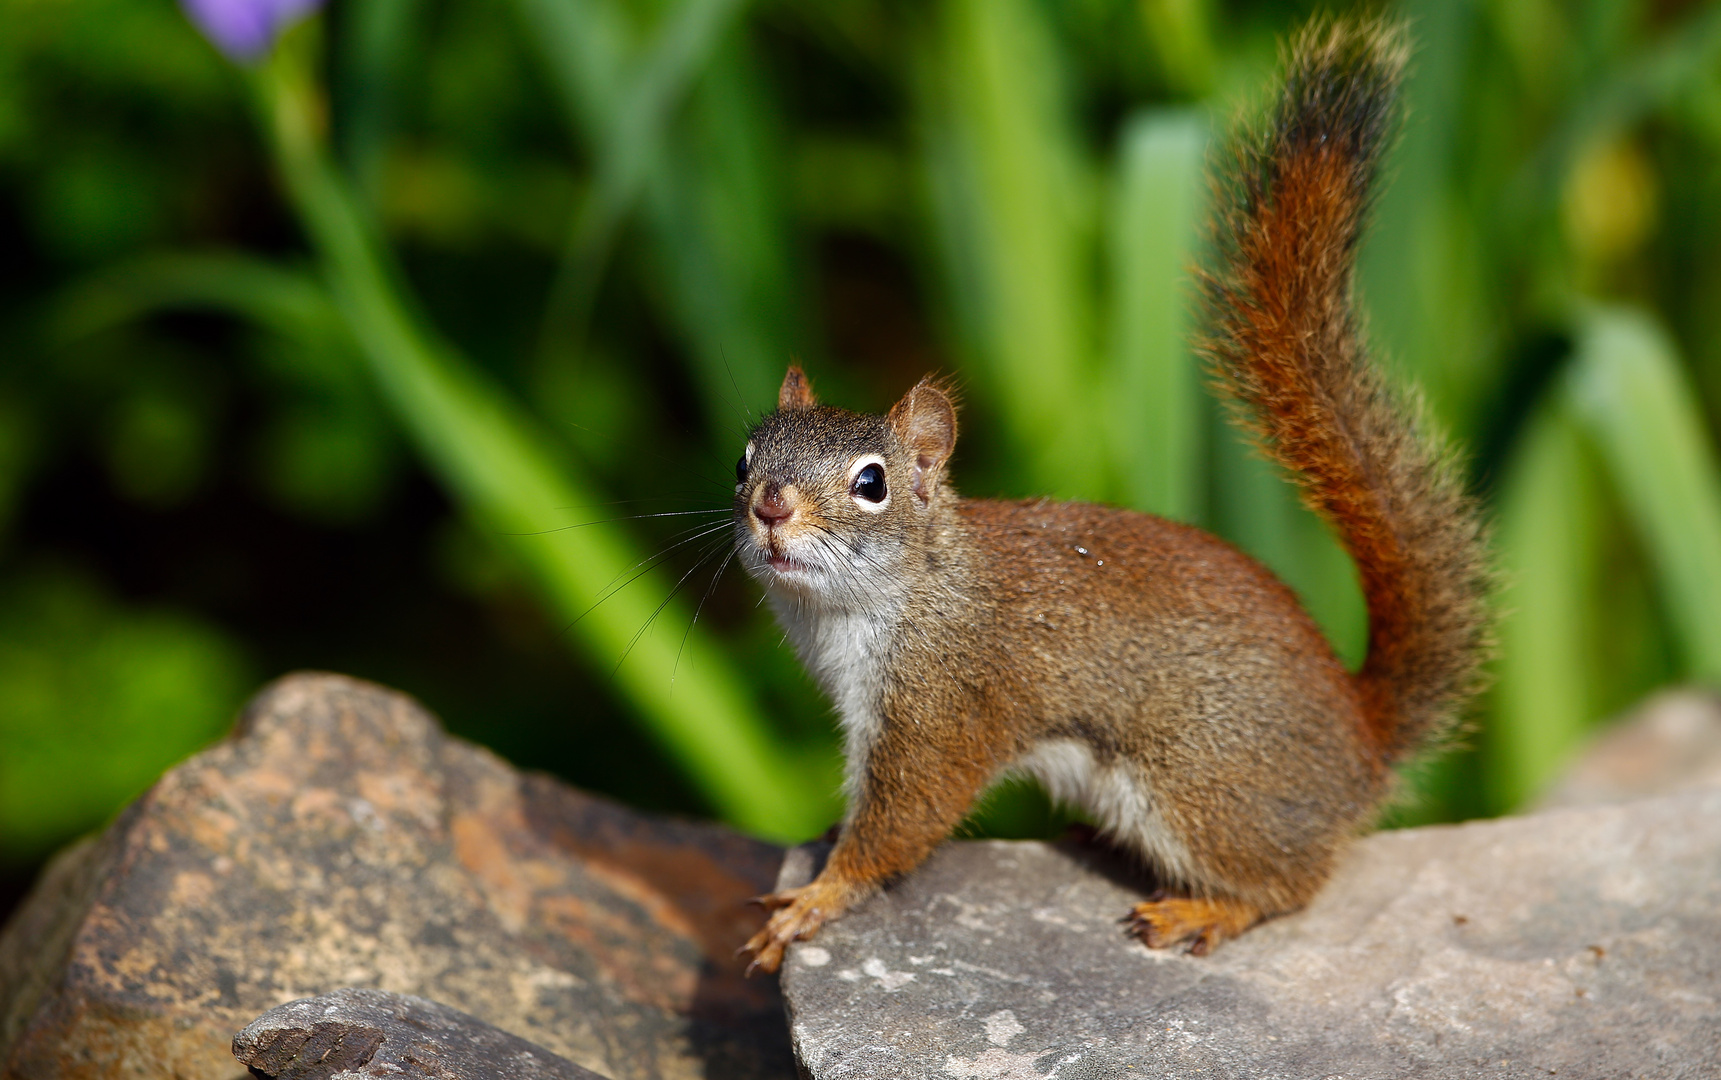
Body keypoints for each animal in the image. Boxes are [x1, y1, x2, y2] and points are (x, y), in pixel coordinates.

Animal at [726, 21, 1493, 976]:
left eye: (871, 483)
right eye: (745, 457)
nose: (769, 506)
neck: (904, 594)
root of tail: (1363, 744)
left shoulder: (947, 705)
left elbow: (903, 822)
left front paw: (818, 896)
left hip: (1199, 786)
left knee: (1293, 884)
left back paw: (1202, 911)